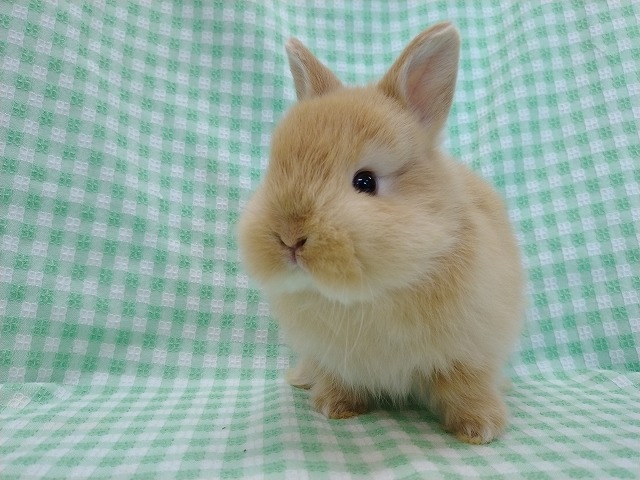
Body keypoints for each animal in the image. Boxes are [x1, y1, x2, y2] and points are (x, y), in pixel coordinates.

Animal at [238, 21, 524, 442]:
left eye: (365, 181)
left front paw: (480, 429)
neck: (373, 293)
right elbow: (338, 379)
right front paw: (335, 407)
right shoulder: (333, 357)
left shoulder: (472, 349)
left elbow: (466, 386)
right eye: (275, 169)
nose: (290, 238)